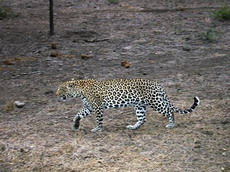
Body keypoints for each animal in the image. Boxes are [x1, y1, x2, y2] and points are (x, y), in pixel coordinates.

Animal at [56, 78, 199, 132]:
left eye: (61, 89)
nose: (56, 94)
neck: (79, 91)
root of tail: (157, 84)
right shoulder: (88, 107)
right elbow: (77, 114)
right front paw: (75, 125)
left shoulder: (97, 107)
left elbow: (98, 120)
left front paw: (98, 129)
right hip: (140, 106)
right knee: (142, 119)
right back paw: (133, 127)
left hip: (155, 102)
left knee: (170, 111)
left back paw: (171, 124)